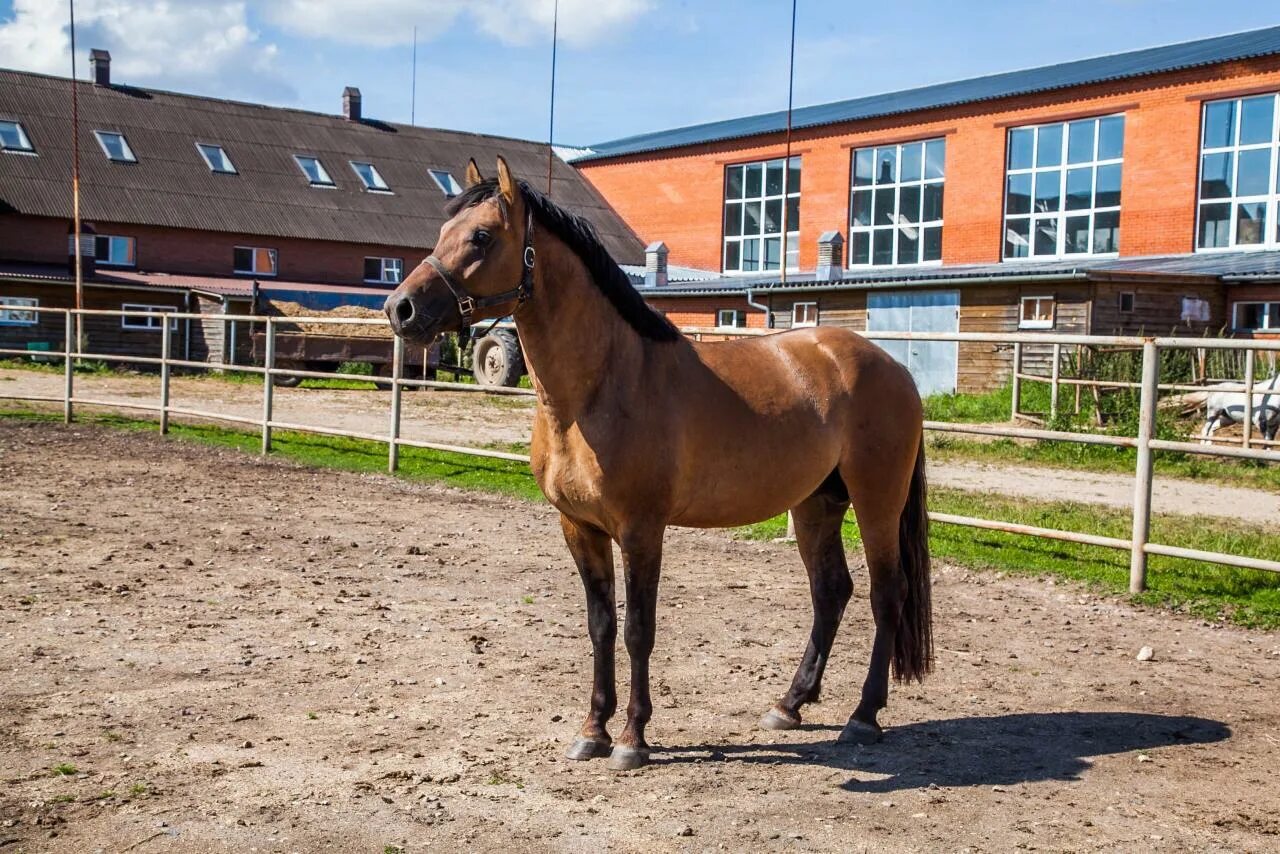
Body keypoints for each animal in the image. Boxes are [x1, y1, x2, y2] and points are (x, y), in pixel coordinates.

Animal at [384, 156, 936, 773]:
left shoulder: (641, 530)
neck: (600, 388)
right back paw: (788, 704)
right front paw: (592, 731)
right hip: (816, 505)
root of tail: (892, 367)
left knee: (887, 593)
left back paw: (863, 717)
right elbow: (601, 627)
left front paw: (632, 739)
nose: (400, 308)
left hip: (876, 500)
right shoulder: (580, 528)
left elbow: (637, 631)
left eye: (480, 236)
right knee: (831, 592)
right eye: (443, 231)